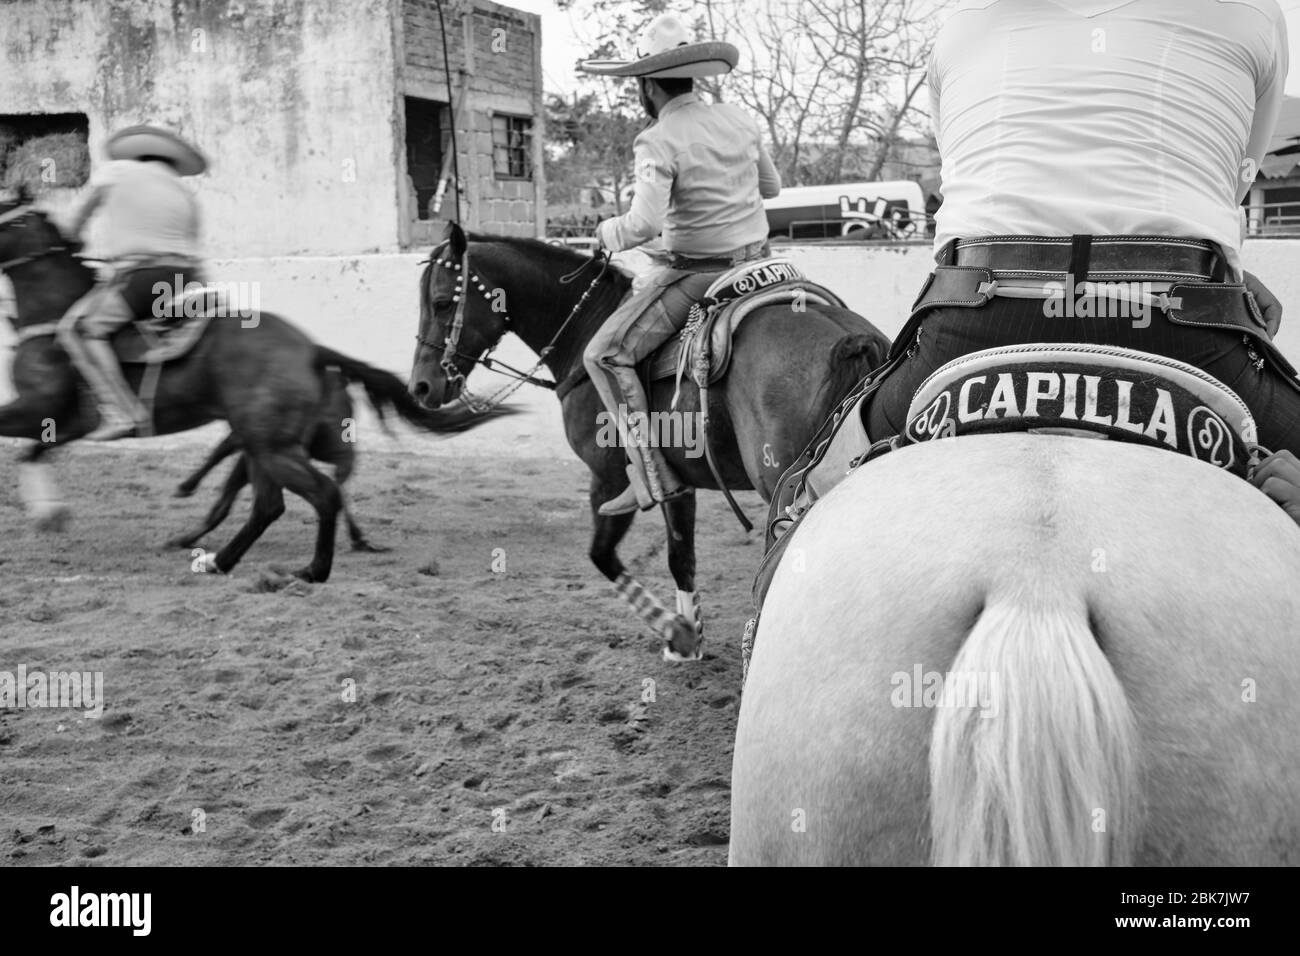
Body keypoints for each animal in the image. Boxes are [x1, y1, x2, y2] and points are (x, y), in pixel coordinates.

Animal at [0, 192, 491, 582]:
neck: (53, 314)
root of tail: (311, 348)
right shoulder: (66, 422)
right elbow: (33, 452)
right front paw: (50, 513)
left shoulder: (37, 408)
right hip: (264, 445)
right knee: (270, 505)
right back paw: (221, 560)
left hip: (271, 447)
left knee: (318, 495)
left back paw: (309, 569)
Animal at [410, 223, 889, 658]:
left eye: (440, 302)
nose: (421, 386)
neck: (584, 326)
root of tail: (851, 339)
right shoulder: (677, 482)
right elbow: (681, 557)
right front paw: (691, 634)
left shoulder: (610, 479)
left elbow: (601, 554)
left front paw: (677, 633)